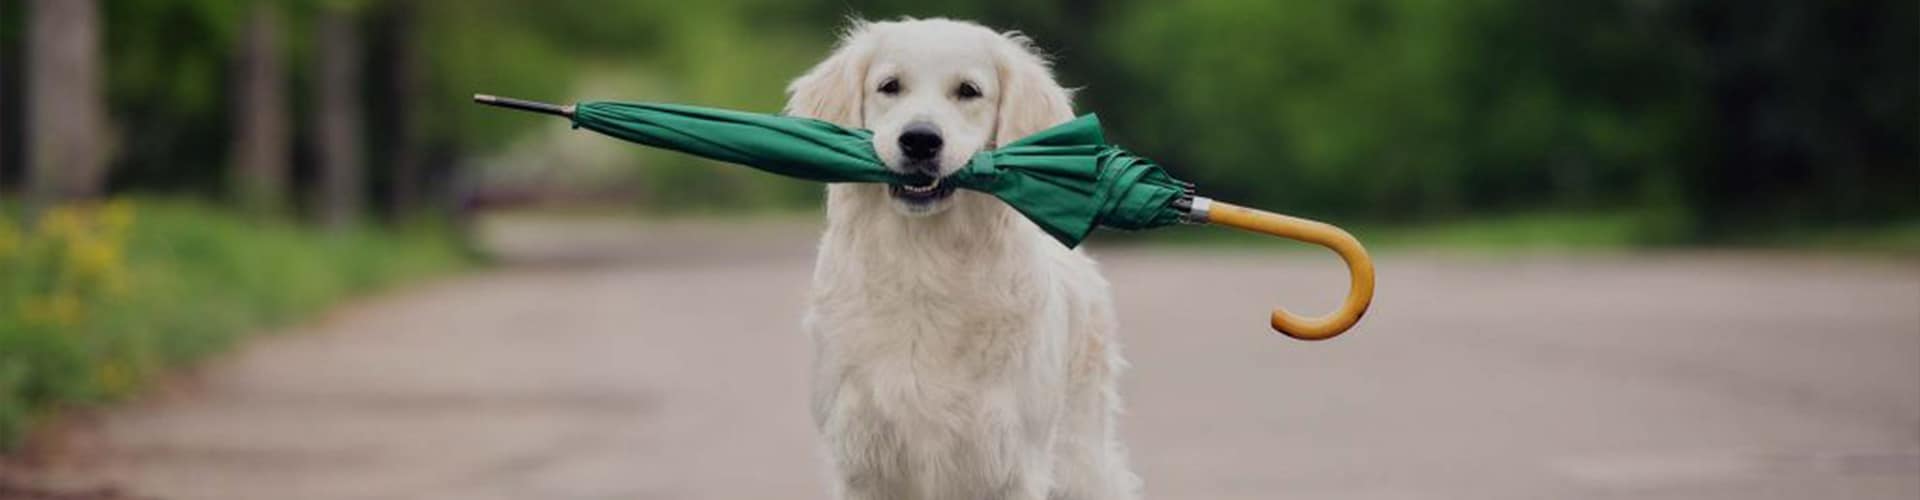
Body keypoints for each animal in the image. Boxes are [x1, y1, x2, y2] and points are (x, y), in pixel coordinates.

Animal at [783, 17, 1136, 496]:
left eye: (968, 91)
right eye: (890, 86)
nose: (920, 140)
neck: (924, 262)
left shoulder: (1012, 459)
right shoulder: (861, 457)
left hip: (1080, 458)